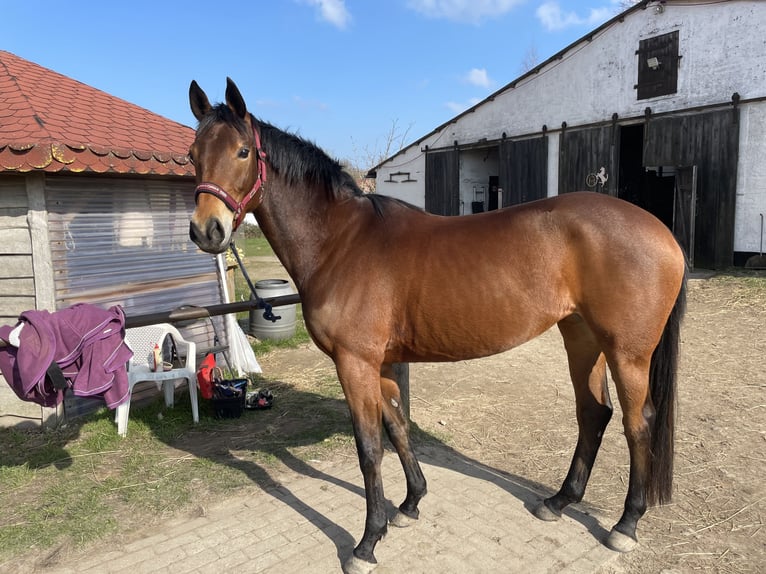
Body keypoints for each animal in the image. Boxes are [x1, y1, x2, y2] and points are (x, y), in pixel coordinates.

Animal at [187, 78, 687, 574]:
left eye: (243, 152)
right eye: (193, 155)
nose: (206, 231)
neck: (341, 242)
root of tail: (662, 231)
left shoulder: (354, 362)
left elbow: (369, 448)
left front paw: (367, 542)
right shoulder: (381, 363)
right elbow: (397, 428)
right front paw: (410, 504)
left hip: (627, 352)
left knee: (637, 423)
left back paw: (625, 525)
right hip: (582, 337)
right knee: (593, 413)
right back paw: (559, 501)